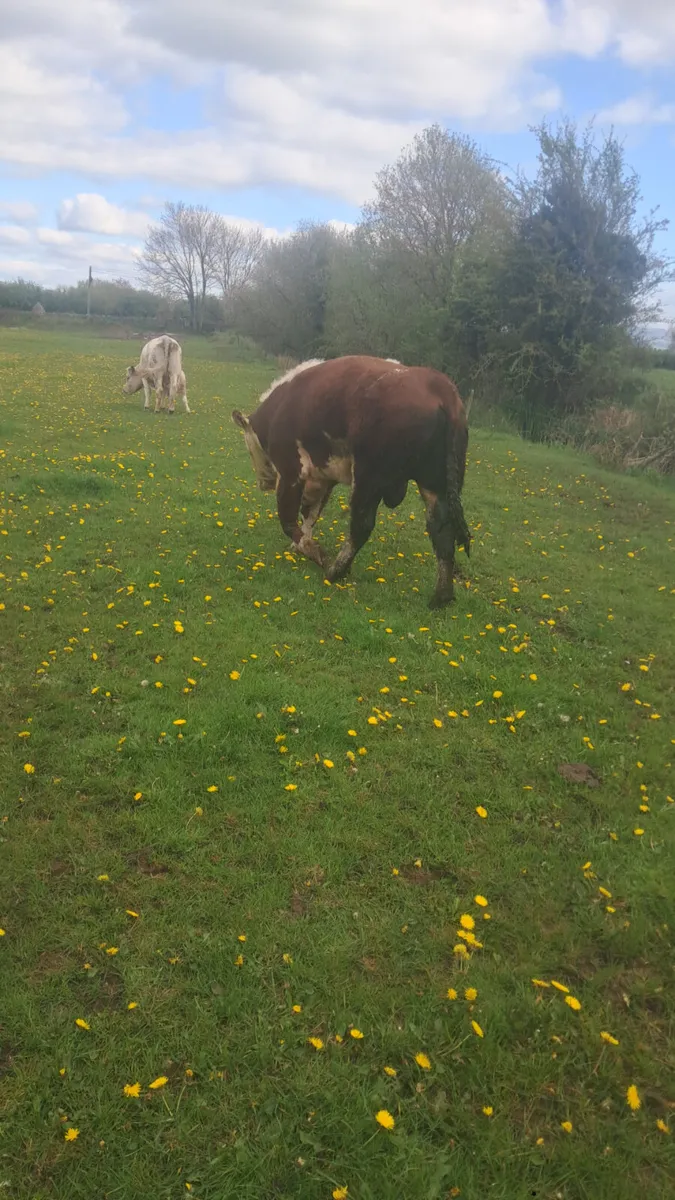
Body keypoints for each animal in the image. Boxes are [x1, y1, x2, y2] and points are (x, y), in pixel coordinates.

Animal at [232, 356, 470, 608]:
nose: (263, 483)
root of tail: (441, 388)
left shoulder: (290, 472)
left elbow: (288, 520)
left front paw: (313, 551)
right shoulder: (322, 478)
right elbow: (310, 515)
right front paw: (301, 545)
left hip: (369, 478)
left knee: (361, 525)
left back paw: (336, 570)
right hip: (436, 485)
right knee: (442, 529)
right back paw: (442, 596)